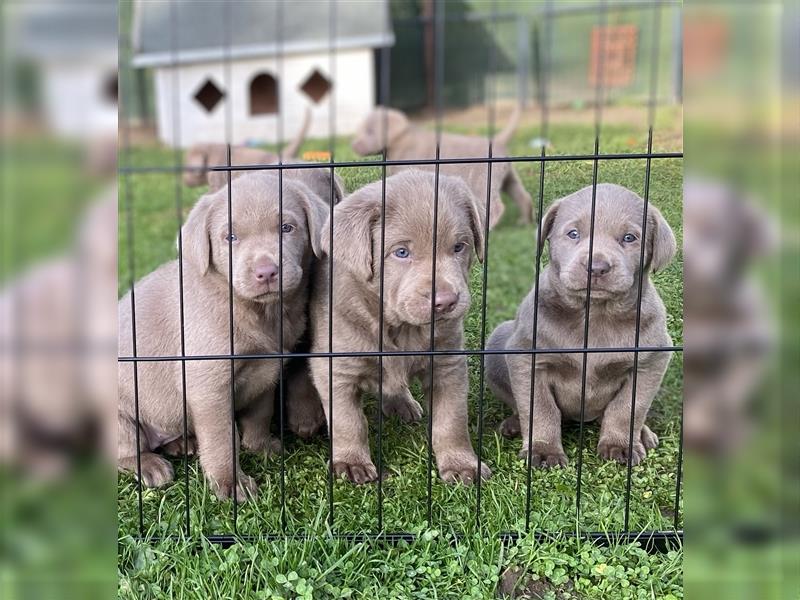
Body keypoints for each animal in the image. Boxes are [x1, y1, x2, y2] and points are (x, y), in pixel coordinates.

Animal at [116, 173, 328, 502]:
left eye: (287, 228)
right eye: (230, 237)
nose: (266, 272)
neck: (257, 312)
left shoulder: (265, 373)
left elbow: (260, 414)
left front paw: (260, 446)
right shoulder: (209, 386)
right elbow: (221, 440)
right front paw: (231, 484)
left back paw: (182, 442)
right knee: (126, 450)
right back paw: (150, 465)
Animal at [310, 168, 490, 482]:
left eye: (459, 247)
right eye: (401, 252)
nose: (446, 302)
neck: (400, 329)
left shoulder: (448, 363)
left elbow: (452, 420)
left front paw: (461, 464)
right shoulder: (335, 368)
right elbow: (348, 421)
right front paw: (350, 462)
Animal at [350, 106, 532, 229]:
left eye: (370, 131)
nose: (354, 145)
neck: (402, 141)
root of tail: (498, 141)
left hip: (483, 181)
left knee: (497, 207)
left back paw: (490, 228)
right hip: (507, 177)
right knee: (523, 196)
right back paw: (525, 221)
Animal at [488, 183, 676, 468]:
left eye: (629, 238)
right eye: (573, 234)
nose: (597, 267)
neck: (594, 314)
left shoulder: (651, 361)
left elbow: (628, 408)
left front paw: (620, 445)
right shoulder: (527, 357)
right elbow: (540, 407)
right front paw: (544, 450)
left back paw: (644, 434)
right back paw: (513, 424)